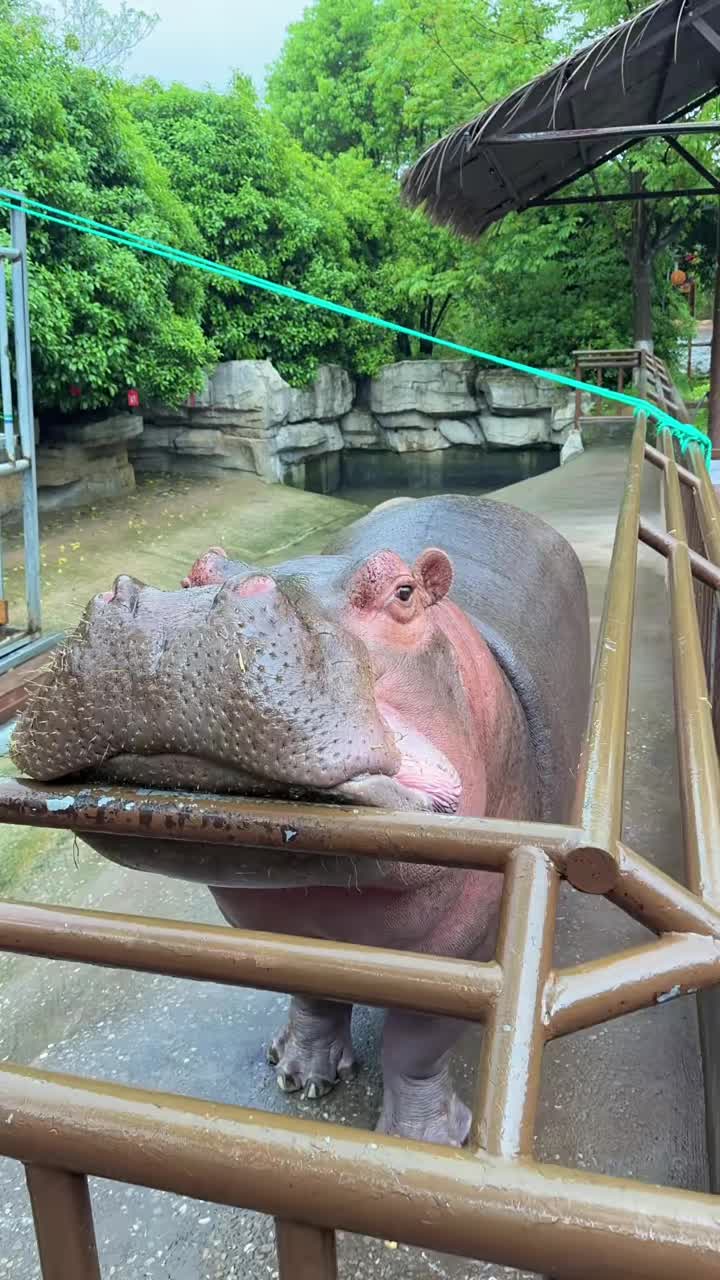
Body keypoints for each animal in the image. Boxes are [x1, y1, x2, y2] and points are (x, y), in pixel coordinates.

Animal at [11, 495, 590, 1146]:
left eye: (404, 592)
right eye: (194, 573)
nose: (173, 614)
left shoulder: (466, 953)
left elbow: (416, 1046)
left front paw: (422, 1138)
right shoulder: (274, 931)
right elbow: (310, 993)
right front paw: (299, 1074)